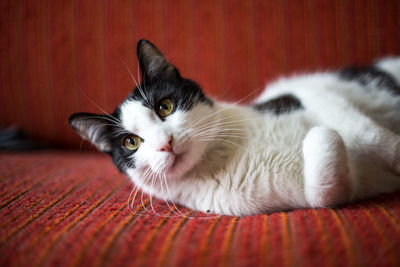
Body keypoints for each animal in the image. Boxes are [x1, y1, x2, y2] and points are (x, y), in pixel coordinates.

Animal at [69, 38, 400, 217]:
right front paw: (318, 138)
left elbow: (363, 132)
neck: (218, 157)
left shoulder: (310, 91)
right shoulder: (323, 195)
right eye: (131, 142)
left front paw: (394, 153)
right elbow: (325, 161)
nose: (165, 142)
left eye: (165, 106)